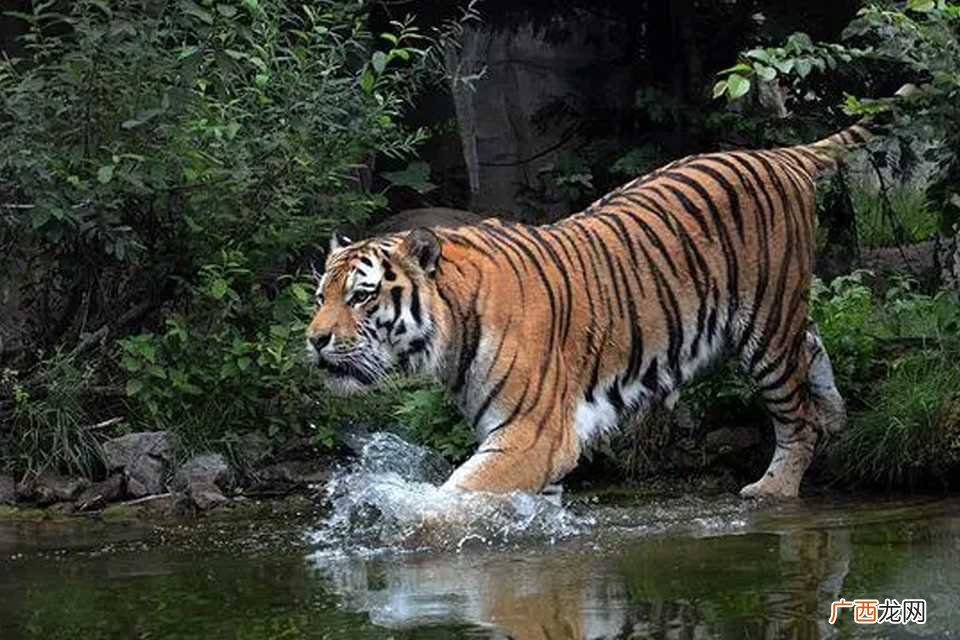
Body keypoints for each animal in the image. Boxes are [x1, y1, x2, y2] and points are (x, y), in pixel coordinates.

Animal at [306, 93, 913, 499]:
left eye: (361, 297)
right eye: (319, 298)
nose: (314, 340)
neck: (451, 338)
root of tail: (780, 154)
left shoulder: (531, 434)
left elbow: (457, 499)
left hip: (763, 325)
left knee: (795, 416)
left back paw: (774, 487)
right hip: (774, 316)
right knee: (810, 343)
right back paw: (836, 414)